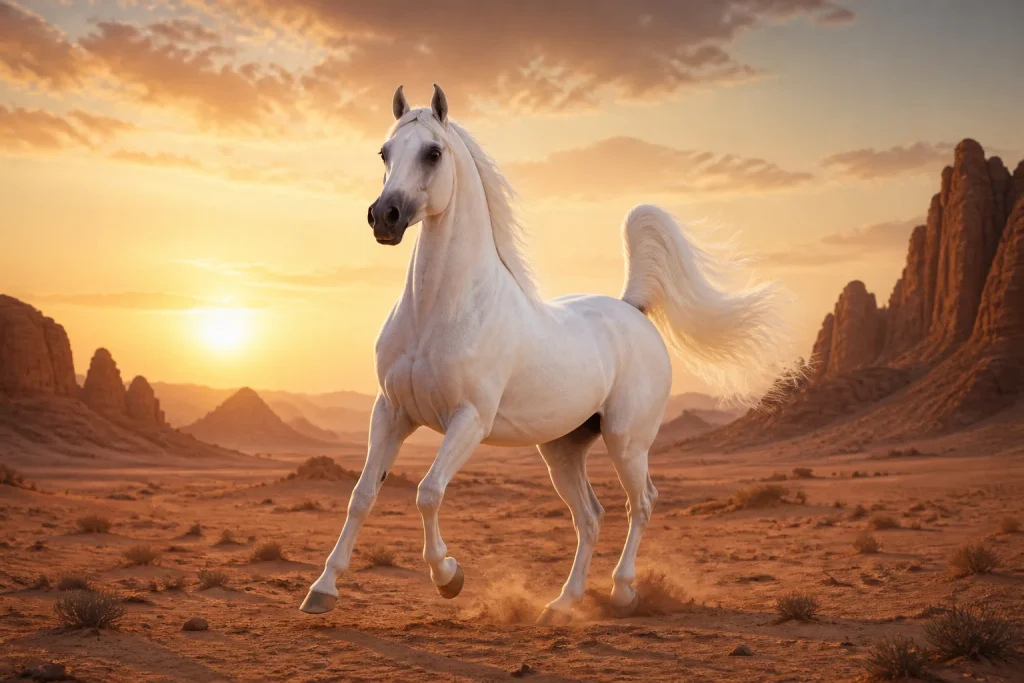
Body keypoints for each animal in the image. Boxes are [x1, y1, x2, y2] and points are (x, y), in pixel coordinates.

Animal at [300, 84, 790, 623]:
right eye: (385, 153)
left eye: (433, 153)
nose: (383, 217)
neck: (438, 312)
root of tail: (631, 309)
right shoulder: (391, 412)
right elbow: (362, 496)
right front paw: (322, 590)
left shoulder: (468, 420)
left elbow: (428, 493)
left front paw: (449, 577)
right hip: (562, 448)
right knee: (591, 517)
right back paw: (562, 603)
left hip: (627, 441)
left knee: (640, 504)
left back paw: (622, 592)